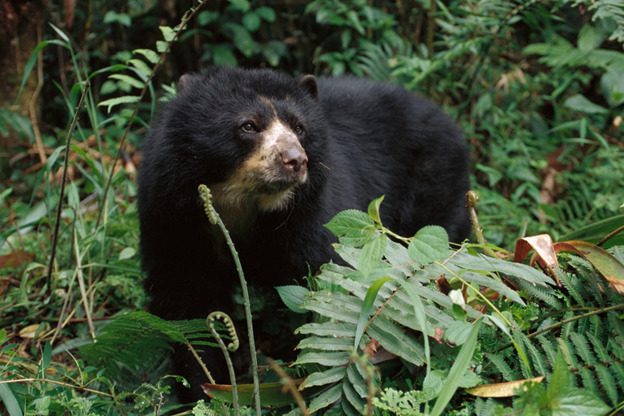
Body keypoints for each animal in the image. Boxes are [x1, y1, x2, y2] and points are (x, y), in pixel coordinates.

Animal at [136, 66, 468, 402]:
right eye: (249, 125)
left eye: (299, 127)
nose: (295, 160)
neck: (243, 206)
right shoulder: (174, 218)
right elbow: (187, 298)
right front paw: (205, 389)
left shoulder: (310, 215)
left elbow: (327, 283)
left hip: (433, 192)